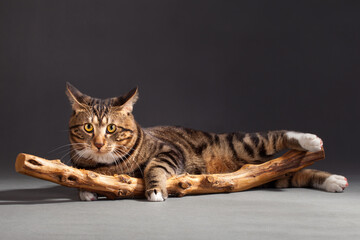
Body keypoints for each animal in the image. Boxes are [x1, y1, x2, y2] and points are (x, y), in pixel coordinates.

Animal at [66, 83, 348, 202]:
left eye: (111, 128)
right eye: (88, 127)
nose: (99, 143)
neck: (109, 165)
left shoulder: (169, 151)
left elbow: (154, 167)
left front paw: (155, 190)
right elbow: (84, 179)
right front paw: (88, 190)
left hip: (244, 144)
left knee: (276, 135)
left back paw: (310, 141)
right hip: (259, 175)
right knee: (290, 174)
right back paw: (333, 181)